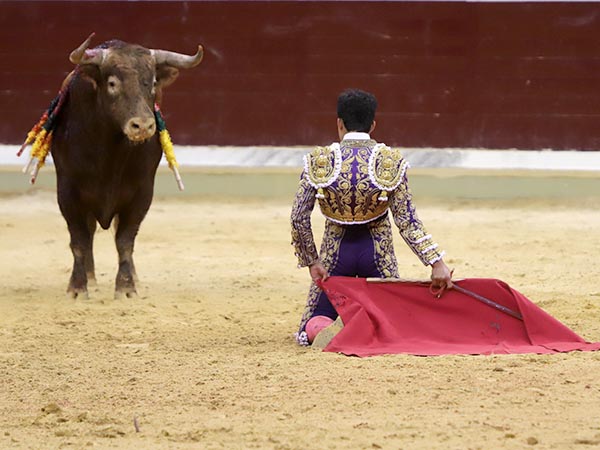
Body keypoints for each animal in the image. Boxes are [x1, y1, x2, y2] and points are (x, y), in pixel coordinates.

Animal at [40, 33, 204, 298]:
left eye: (153, 82)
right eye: (112, 83)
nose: (143, 125)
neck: (111, 151)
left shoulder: (141, 194)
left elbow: (125, 241)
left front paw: (127, 288)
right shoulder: (68, 193)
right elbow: (79, 240)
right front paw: (77, 288)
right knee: (89, 233)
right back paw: (90, 278)